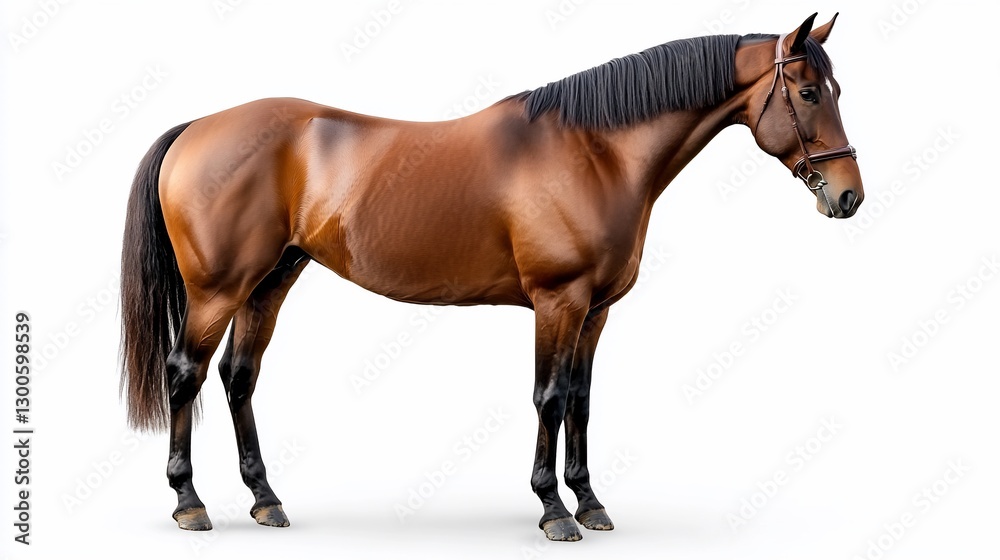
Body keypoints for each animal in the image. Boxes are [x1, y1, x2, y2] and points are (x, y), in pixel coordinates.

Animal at [120, 13, 862, 541]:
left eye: (835, 90)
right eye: (806, 92)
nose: (849, 196)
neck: (595, 152)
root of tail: (198, 127)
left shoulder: (596, 311)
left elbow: (582, 401)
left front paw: (590, 503)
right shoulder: (558, 302)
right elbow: (550, 399)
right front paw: (553, 510)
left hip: (269, 283)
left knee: (238, 377)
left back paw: (266, 500)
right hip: (217, 290)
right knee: (185, 373)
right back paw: (189, 502)